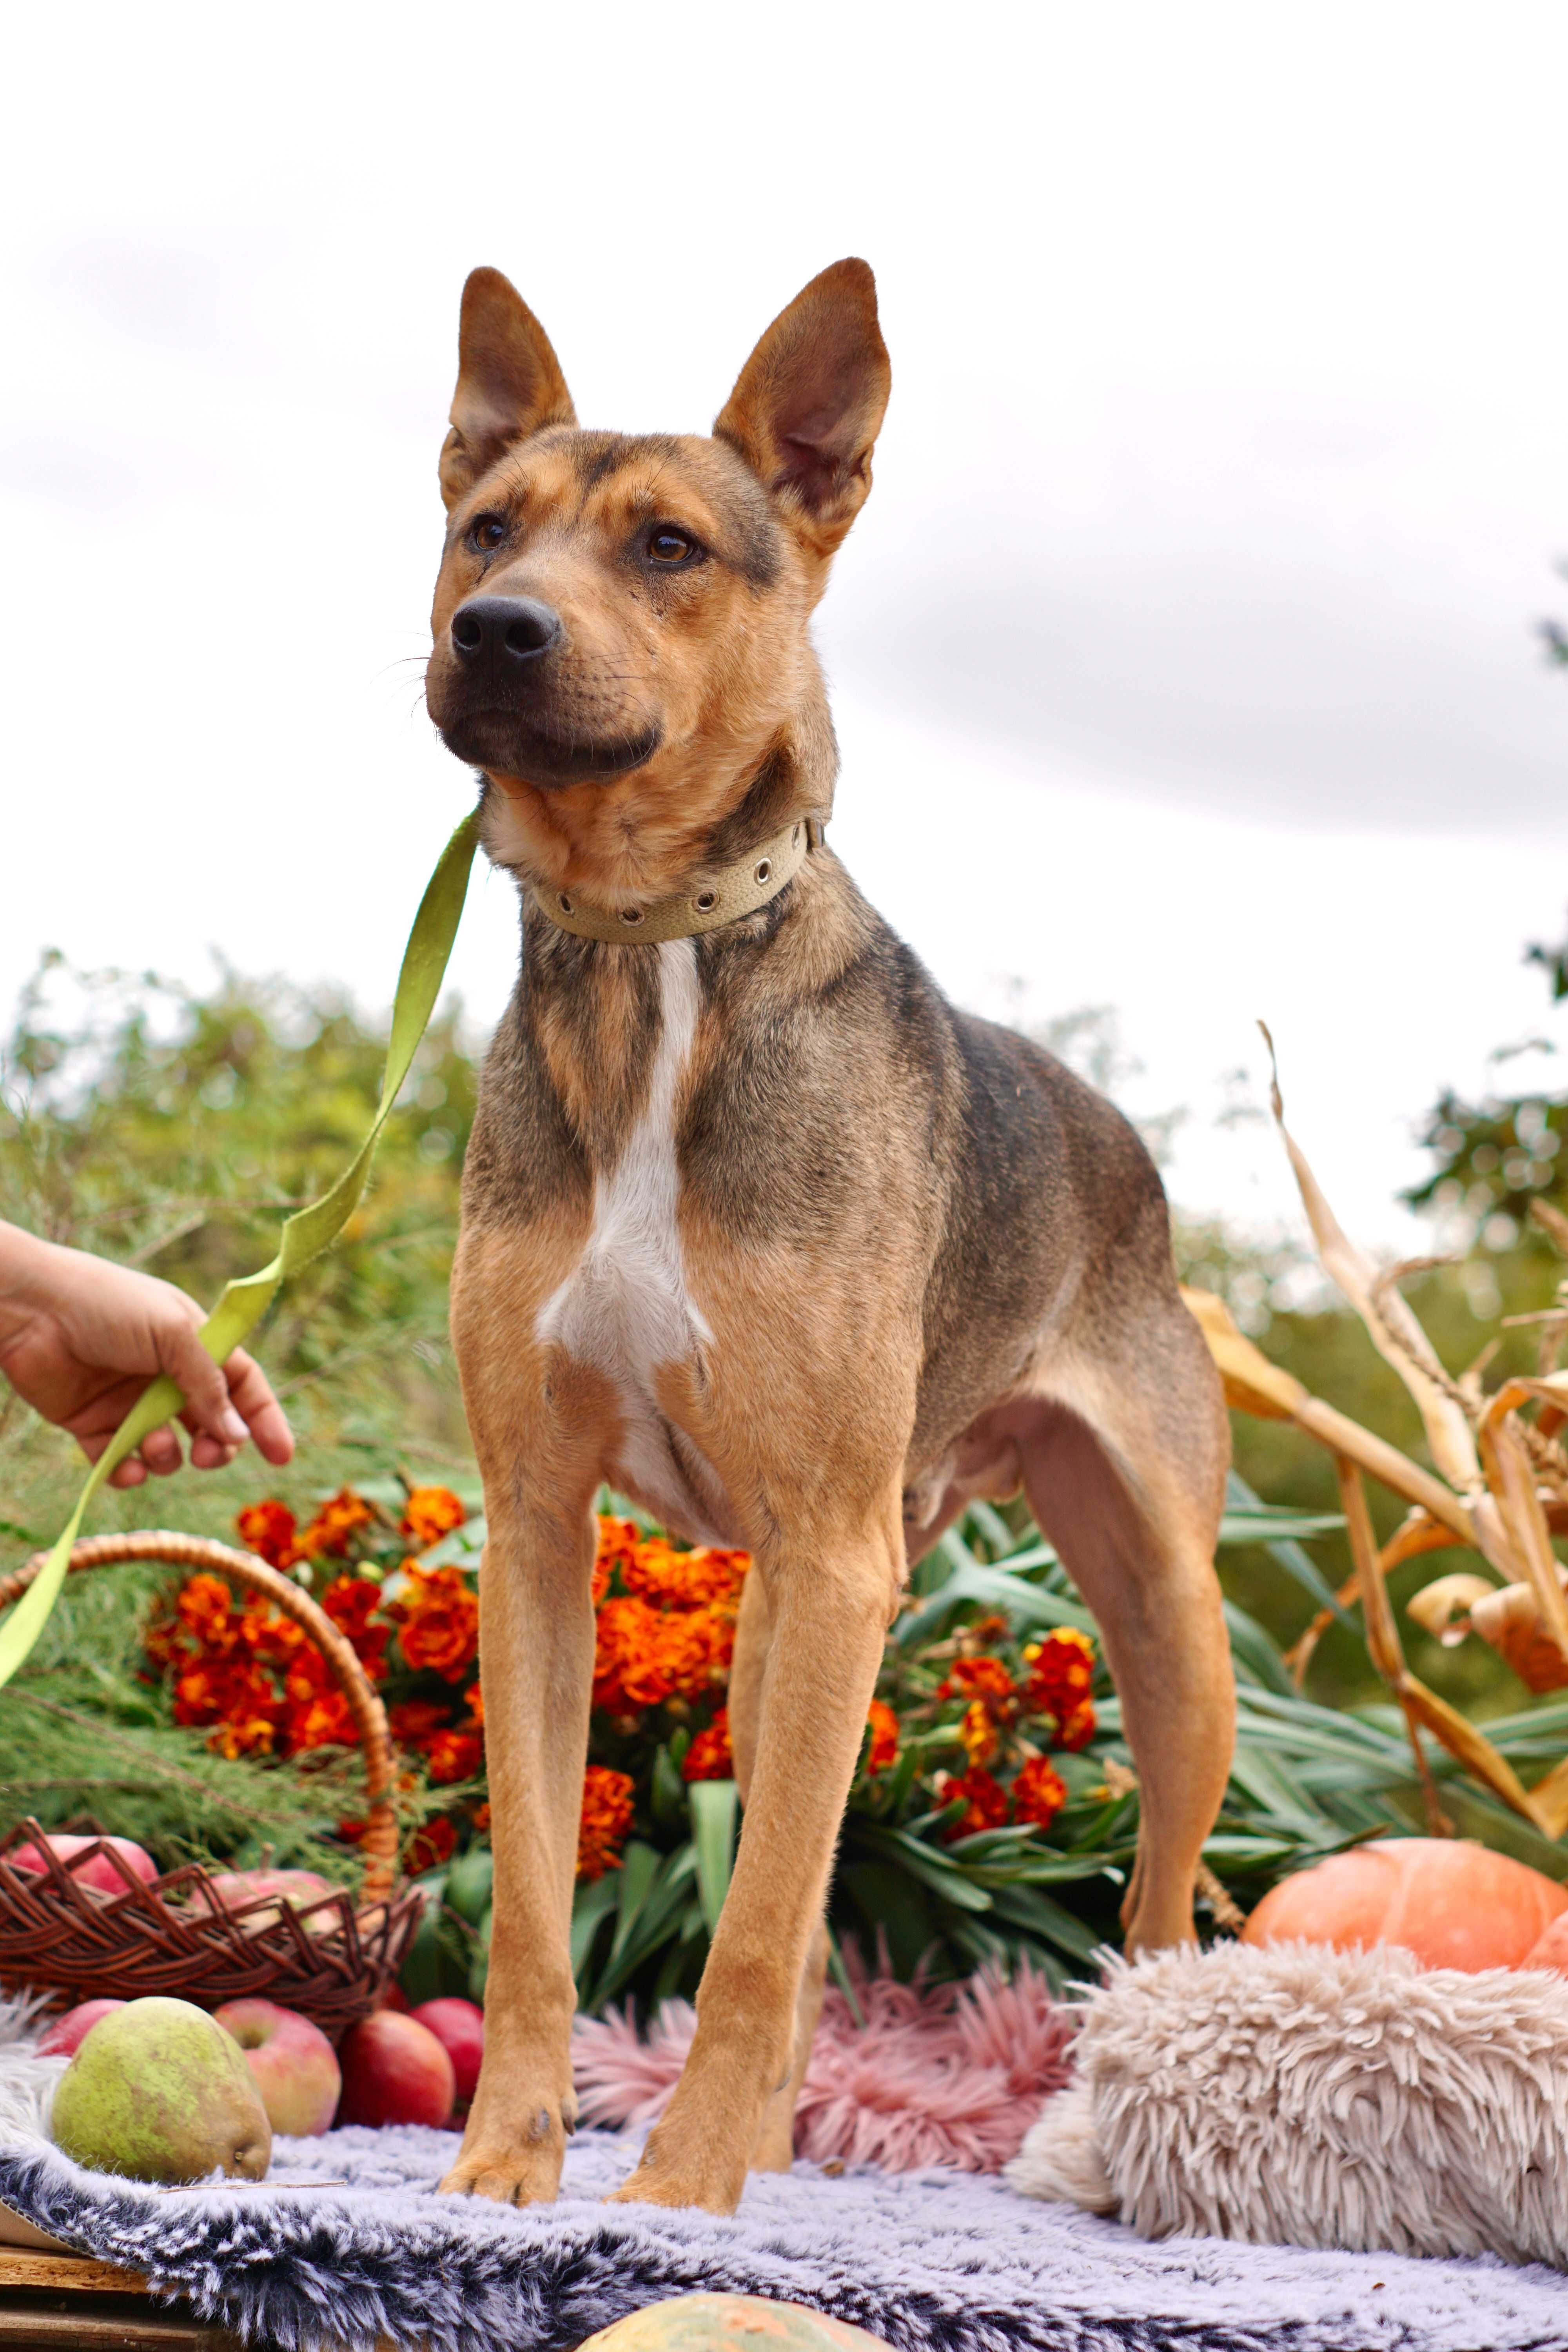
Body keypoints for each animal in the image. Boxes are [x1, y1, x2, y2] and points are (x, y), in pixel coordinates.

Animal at [423, 267, 1232, 2211]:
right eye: (485, 529)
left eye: (666, 545)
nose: (492, 631)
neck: (655, 950)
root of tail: (1120, 1147)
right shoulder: (538, 1533)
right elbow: (545, 1912)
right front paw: (510, 2169)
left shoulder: (830, 1556)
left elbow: (757, 1929)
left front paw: (677, 2202)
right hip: (799, 1610)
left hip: (1153, 1625)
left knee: (1156, 1908)